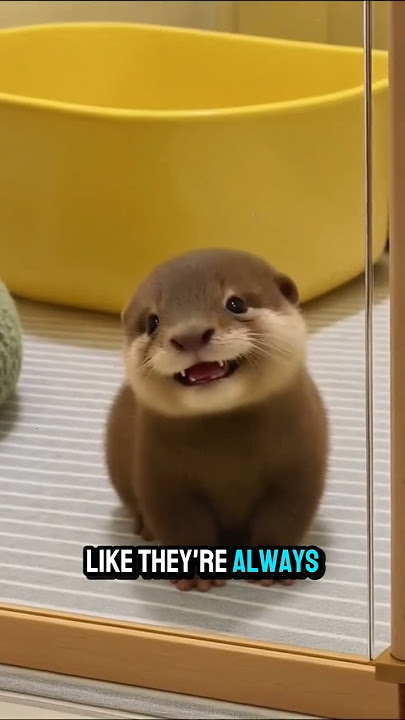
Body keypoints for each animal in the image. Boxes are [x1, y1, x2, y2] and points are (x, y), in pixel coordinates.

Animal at [105, 248, 328, 591]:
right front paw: (197, 575)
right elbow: (183, 526)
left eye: (236, 303)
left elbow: (283, 519)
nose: (190, 335)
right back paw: (145, 529)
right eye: (152, 322)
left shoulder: (300, 469)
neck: (230, 465)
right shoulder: (161, 479)